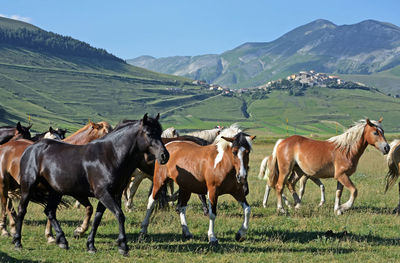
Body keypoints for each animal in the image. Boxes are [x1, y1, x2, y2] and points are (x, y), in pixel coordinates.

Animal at [12, 113, 169, 256]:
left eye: (160, 132)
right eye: (149, 133)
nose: (164, 156)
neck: (110, 156)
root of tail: (31, 148)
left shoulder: (112, 195)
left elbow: (97, 219)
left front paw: (90, 245)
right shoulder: (103, 194)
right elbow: (119, 215)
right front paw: (123, 246)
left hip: (56, 191)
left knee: (49, 211)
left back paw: (62, 241)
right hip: (28, 188)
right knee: (22, 210)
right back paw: (18, 242)